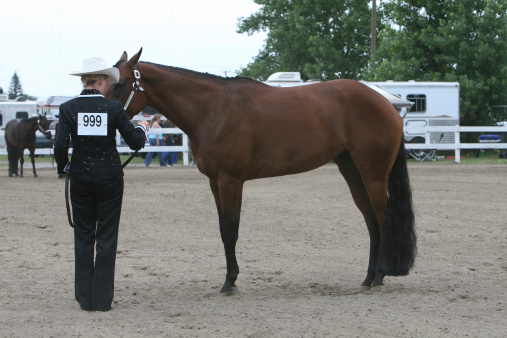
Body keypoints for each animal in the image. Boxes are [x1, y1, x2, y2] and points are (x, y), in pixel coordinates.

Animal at [105, 48, 418, 294]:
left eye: (120, 84)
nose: (104, 115)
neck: (213, 110)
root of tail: (387, 105)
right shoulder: (215, 183)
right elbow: (223, 229)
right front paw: (230, 279)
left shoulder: (231, 181)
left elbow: (231, 231)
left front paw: (230, 282)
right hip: (352, 172)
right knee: (371, 222)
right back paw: (368, 278)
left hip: (373, 174)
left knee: (384, 220)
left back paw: (379, 276)